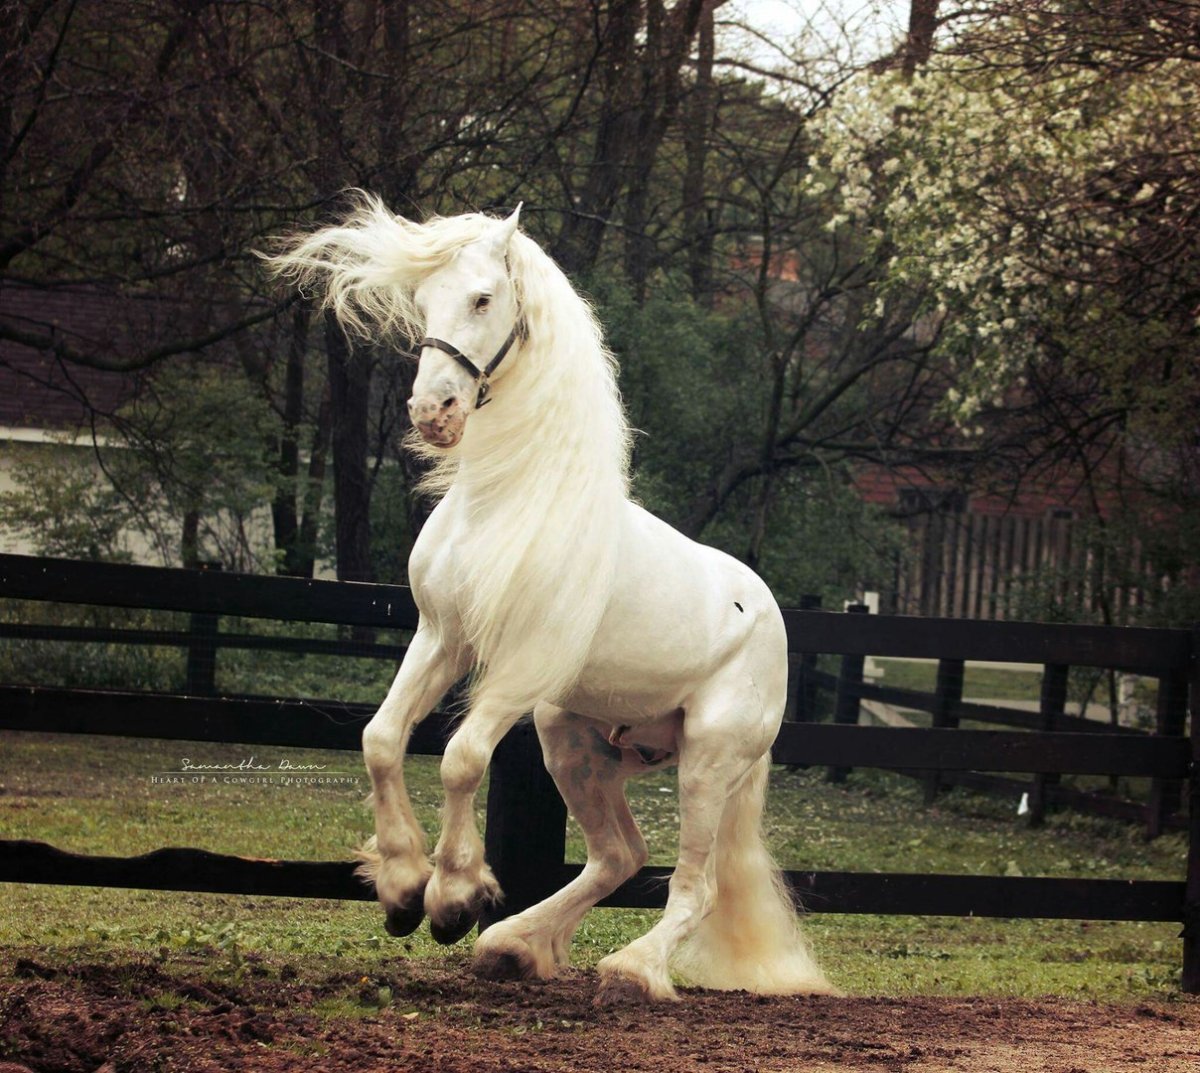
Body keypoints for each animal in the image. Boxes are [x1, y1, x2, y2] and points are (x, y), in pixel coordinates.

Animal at [268, 195, 833, 1004]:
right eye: (425, 301)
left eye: (483, 299)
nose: (433, 410)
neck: (507, 502)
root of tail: (771, 618)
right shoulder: (442, 637)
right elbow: (381, 738)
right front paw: (403, 889)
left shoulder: (520, 664)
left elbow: (461, 759)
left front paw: (451, 896)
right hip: (574, 740)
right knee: (619, 854)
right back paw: (511, 945)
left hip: (706, 761)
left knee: (694, 887)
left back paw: (630, 969)